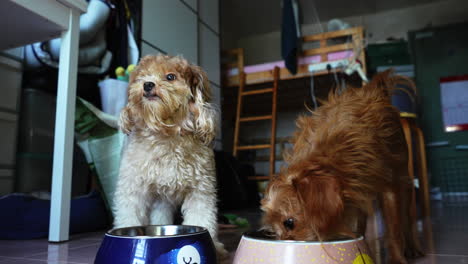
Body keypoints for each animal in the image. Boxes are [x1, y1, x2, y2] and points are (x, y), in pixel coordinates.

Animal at [262, 71, 422, 262]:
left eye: (289, 223)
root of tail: (372, 89)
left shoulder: (389, 187)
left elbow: (394, 230)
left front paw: (397, 258)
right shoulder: (356, 193)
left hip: (403, 178)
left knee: (407, 217)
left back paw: (412, 247)